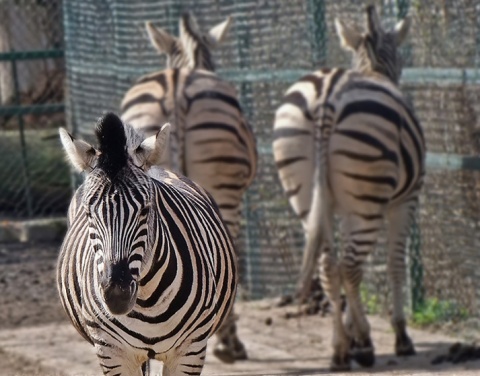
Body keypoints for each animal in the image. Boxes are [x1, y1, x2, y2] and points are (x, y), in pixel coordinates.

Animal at [57, 113, 237, 374]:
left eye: (145, 210)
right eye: (90, 213)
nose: (116, 295)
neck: (147, 300)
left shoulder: (190, 350)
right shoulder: (112, 351)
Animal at [272, 4, 426, 372]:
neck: (373, 68)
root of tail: (327, 93)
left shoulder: (336, 205)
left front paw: (352, 333)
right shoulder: (406, 201)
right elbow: (395, 263)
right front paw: (399, 336)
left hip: (304, 190)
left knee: (329, 266)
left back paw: (340, 349)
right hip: (368, 198)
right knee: (352, 267)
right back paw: (367, 345)